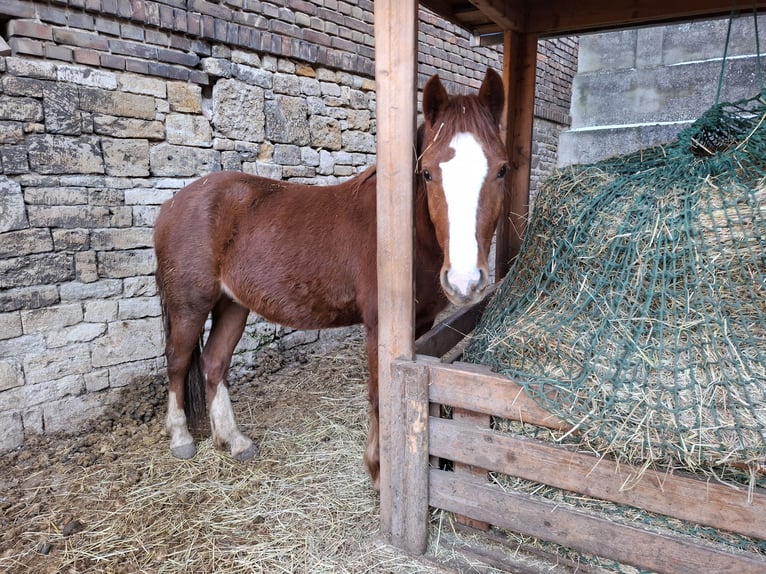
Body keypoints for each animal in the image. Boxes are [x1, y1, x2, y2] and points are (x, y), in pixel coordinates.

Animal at [152, 68, 508, 490]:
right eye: (427, 172)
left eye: (502, 169)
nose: (465, 281)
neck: (400, 230)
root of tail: (172, 203)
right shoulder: (379, 326)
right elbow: (378, 395)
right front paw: (378, 472)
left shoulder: (418, 324)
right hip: (189, 304)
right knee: (177, 361)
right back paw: (180, 436)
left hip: (232, 304)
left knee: (213, 362)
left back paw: (234, 440)